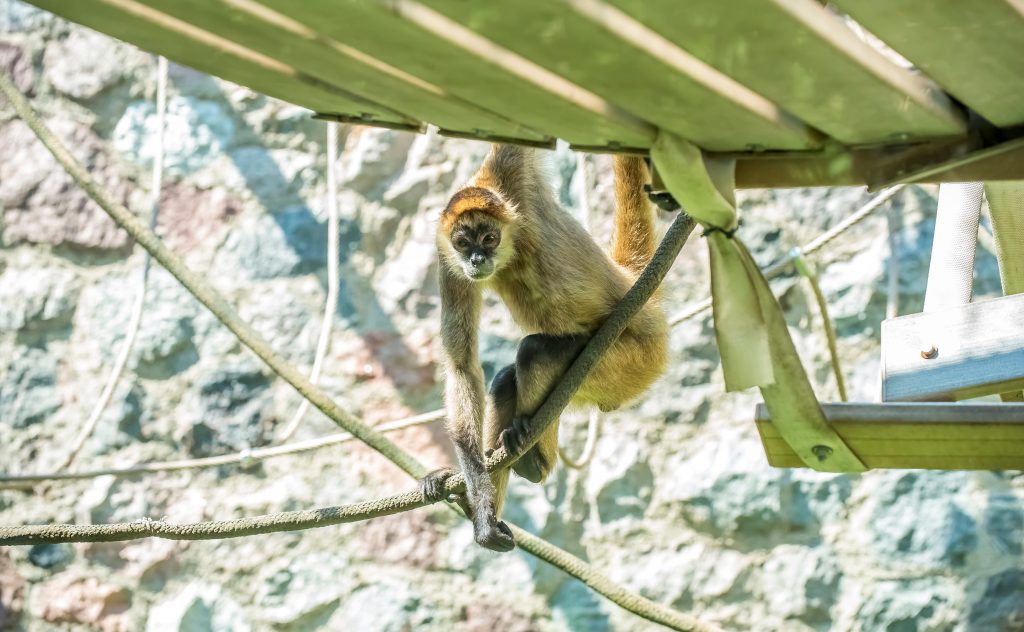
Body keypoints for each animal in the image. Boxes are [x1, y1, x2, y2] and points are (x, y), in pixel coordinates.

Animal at [423, 145, 671, 549]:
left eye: (488, 238)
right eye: (463, 243)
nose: (477, 259)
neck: (512, 248)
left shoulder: (510, 172)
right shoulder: (448, 261)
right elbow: (461, 364)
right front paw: (480, 500)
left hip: (631, 359)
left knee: (534, 352)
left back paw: (531, 455)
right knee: (505, 378)